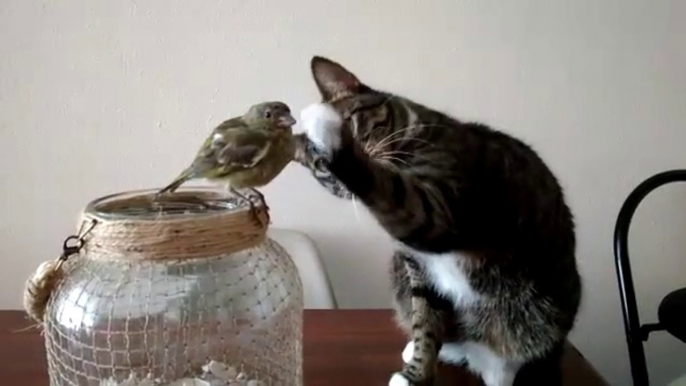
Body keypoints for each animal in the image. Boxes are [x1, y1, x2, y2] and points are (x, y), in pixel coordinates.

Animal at [296, 55, 580, 386]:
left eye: (351, 123)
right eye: (322, 169)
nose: (336, 179)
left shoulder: (444, 210)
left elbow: (386, 185)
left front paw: (322, 124)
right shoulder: (417, 268)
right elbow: (426, 320)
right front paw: (417, 372)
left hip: (538, 312)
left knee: (513, 349)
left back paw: (499, 371)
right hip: (398, 273)